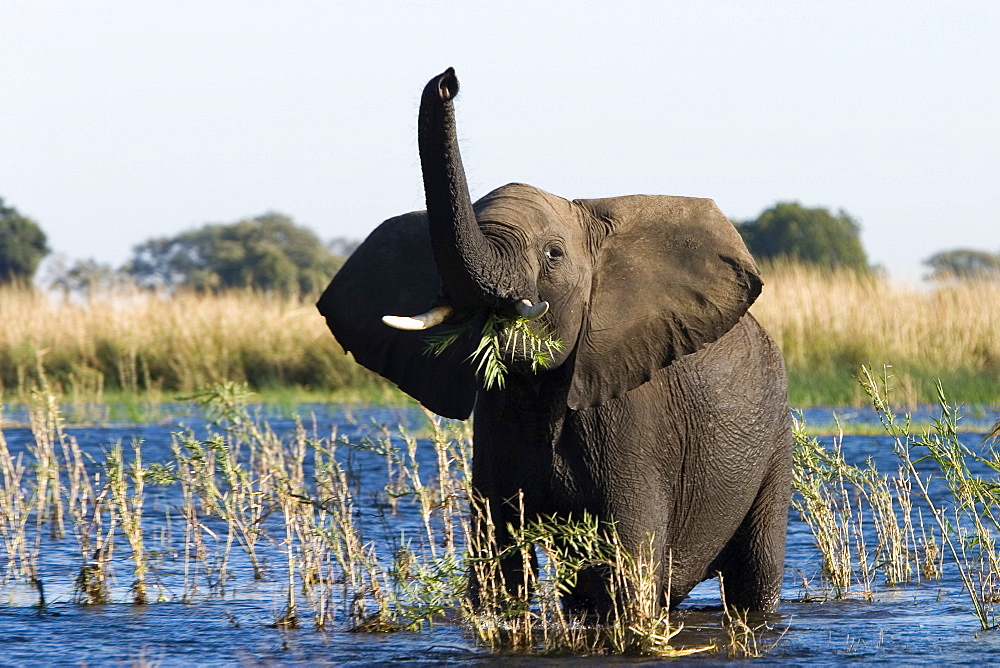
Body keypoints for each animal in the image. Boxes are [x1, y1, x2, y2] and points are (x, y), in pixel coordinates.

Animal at [316, 69, 792, 616]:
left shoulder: (635, 419)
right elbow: (497, 565)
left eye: (554, 254)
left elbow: (627, 568)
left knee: (754, 572)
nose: (447, 80)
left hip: (774, 439)